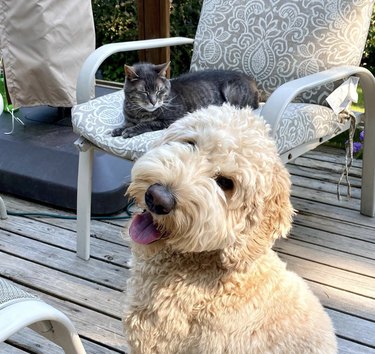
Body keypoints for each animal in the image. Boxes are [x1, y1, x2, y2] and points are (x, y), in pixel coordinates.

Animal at [111, 62, 258, 137]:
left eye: (159, 91)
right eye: (144, 92)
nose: (153, 102)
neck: (139, 112)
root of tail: (251, 80)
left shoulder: (171, 119)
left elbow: (149, 123)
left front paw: (131, 130)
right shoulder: (129, 118)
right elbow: (127, 123)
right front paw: (119, 129)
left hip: (231, 91)